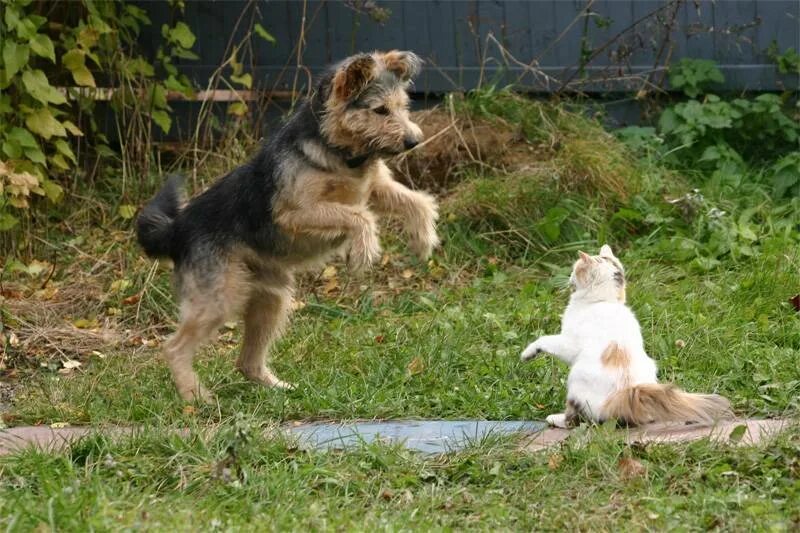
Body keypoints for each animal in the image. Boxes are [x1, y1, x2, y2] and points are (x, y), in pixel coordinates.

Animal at [136, 51, 438, 404]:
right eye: (380, 110)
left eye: (403, 106)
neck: (336, 149)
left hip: (271, 299)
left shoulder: (377, 187)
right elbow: (360, 216)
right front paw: (363, 252)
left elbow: (416, 202)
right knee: (174, 347)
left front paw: (422, 239)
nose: (414, 141)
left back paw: (276, 388)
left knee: (246, 361)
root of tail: (176, 230)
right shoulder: (295, 215)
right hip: (220, 298)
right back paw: (195, 397)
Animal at [520, 245, 732, 428]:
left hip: (575, 384)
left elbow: (544, 340)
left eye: (575, 269)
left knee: (580, 419)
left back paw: (555, 419)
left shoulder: (568, 343)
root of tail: (628, 393)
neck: (604, 301)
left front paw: (527, 353)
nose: (570, 277)